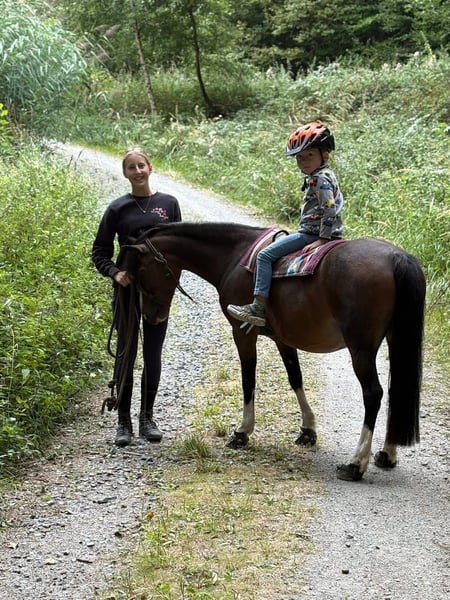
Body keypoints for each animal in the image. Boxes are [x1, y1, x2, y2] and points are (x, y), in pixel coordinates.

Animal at [122, 221, 426, 481]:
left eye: (140, 272)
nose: (151, 316)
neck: (235, 256)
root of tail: (396, 257)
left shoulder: (242, 333)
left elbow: (248, 380)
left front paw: (242, 432)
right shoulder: (284, 338)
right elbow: (295, 378)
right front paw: (308, 430)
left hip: (361, 348)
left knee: (373, 394)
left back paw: (355, 464)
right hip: (393, 339)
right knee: (397, 389)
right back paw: (387, 454)